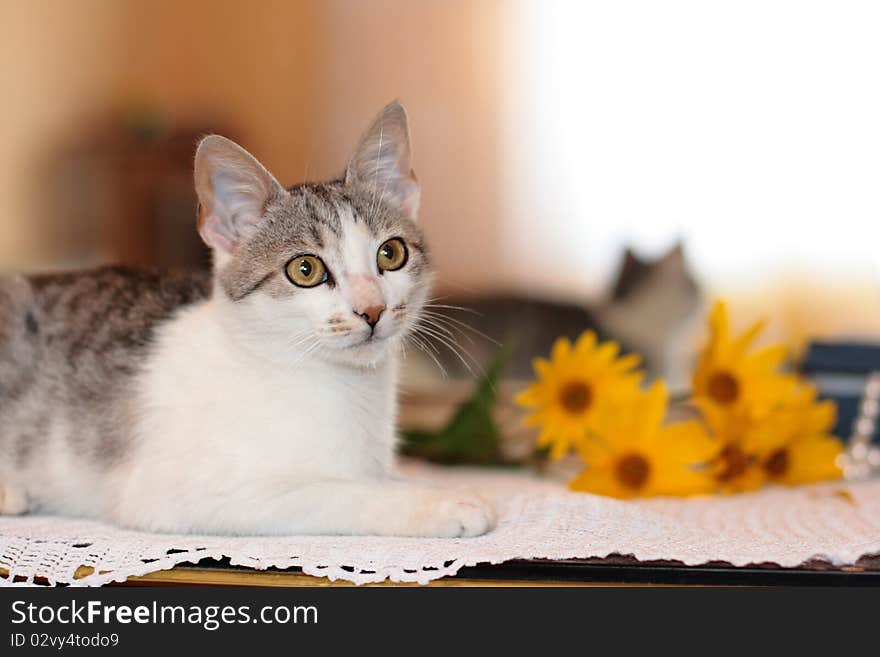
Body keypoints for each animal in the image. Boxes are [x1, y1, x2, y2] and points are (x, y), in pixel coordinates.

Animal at [0, 100, 496, 536]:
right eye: (305, 270)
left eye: (390, 254)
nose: (371, 308)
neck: (339, 387)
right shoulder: (180, 491)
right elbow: (338, 493)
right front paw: (442, 503)